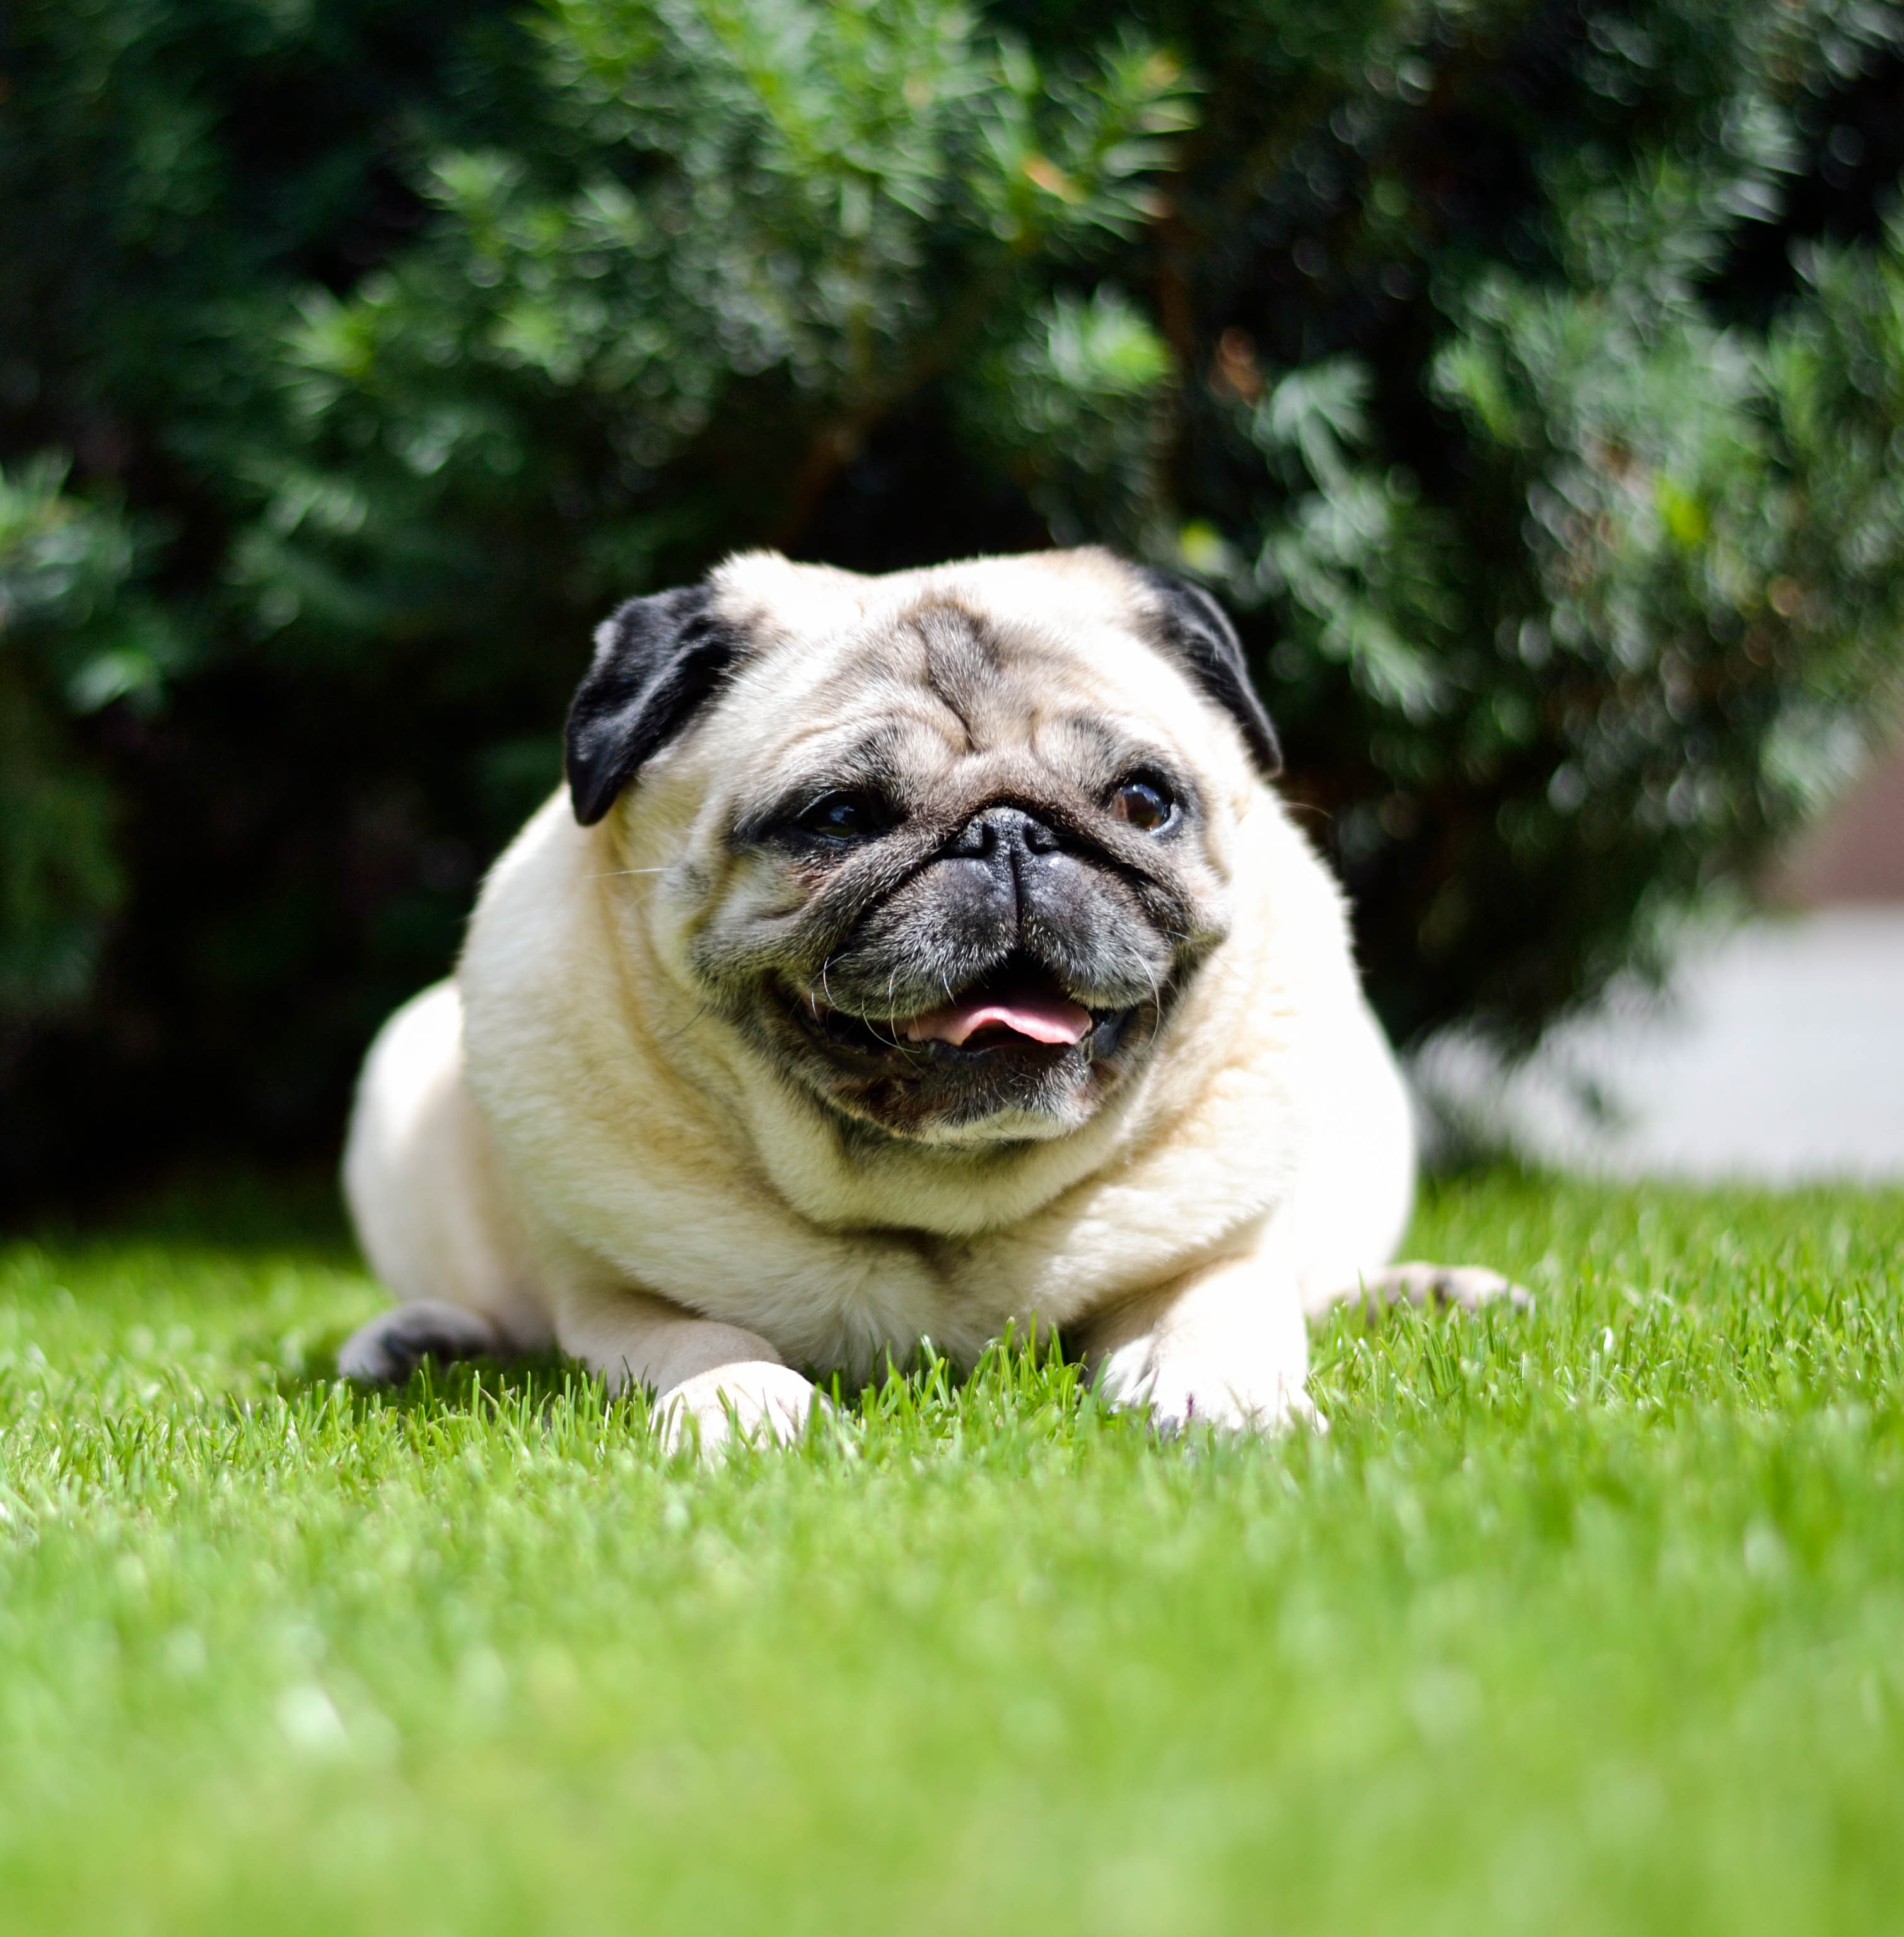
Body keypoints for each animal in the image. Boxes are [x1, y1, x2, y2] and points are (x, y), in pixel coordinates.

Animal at [340, 547, 1520, 1447]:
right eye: (837, 818)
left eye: (1142, 802)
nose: (1006, 833)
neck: (947, 1205)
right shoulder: (614, 1301)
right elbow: (695, 1333)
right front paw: (741, 1401)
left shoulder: (1219, 1258)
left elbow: (1222, 1302)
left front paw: (1220, 1397)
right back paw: (413, 1341)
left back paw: (1434, 1292)